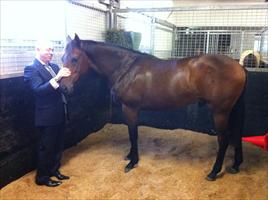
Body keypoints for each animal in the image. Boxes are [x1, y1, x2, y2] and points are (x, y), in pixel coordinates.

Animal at [61, 34, 247, 181]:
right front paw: (130, 156)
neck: (126, 68)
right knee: (236, 134)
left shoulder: (130, 108)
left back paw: (213, 172)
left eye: (75, 59)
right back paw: (235, 165)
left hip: (220, 112)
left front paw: (132, 162)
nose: (63, 87)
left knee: (223, 139)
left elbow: (133, 134)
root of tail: (239, 67)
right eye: (63, 58)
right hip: (230, 111)